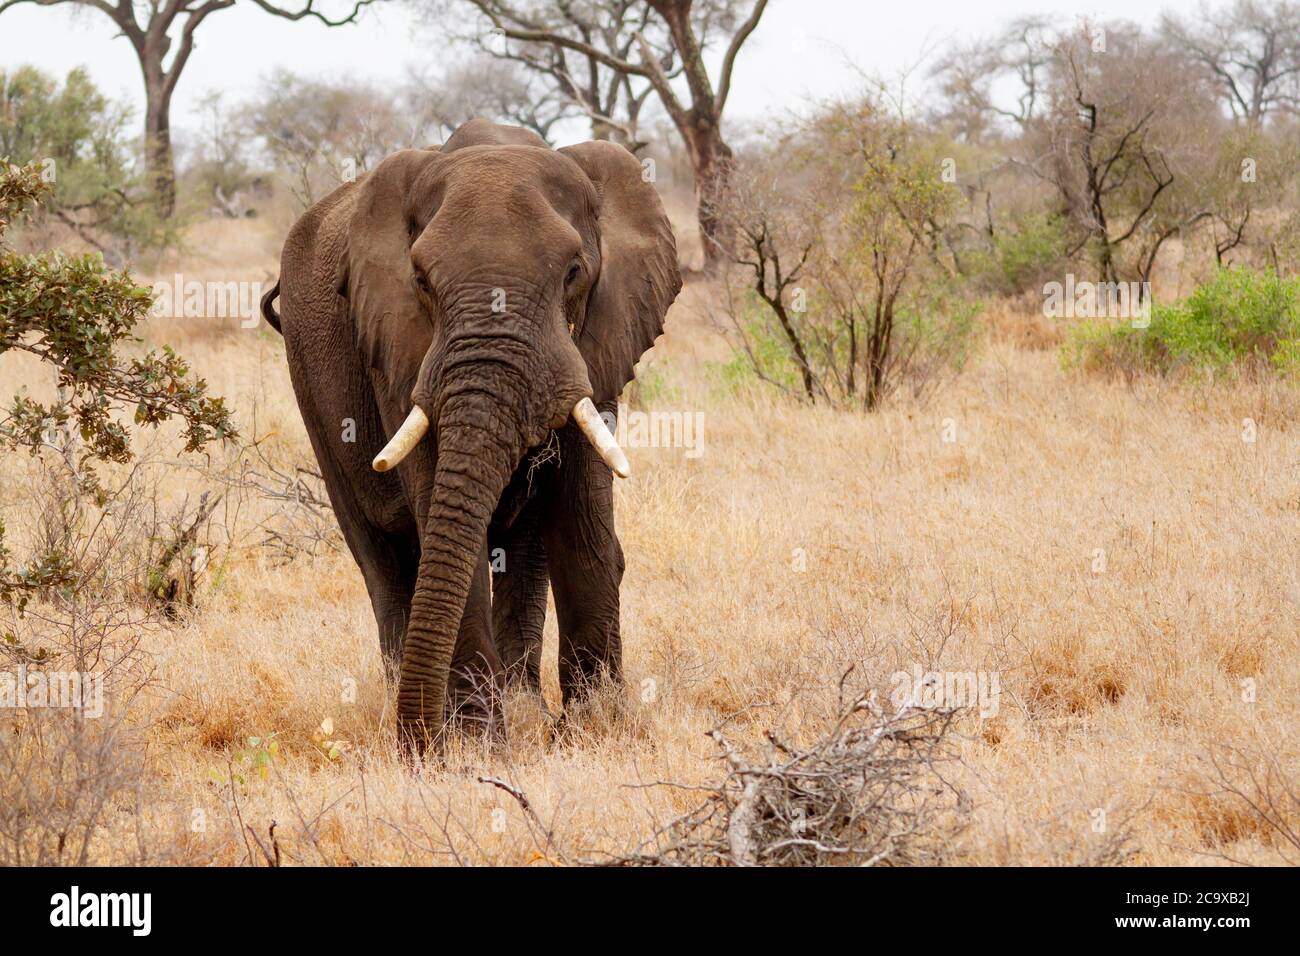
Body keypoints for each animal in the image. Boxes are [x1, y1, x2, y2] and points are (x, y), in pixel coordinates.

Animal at [261, 117, 681, 749]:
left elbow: (581, 519)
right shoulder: (397, 346)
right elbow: (440, 510)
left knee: (522, 549)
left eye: (574, 272)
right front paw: (475, 748)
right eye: (419, 279)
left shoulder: (601, 339)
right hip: (306, 376)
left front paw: (596, 732)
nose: (417, 744)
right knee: (381, 556)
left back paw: (521, 705)